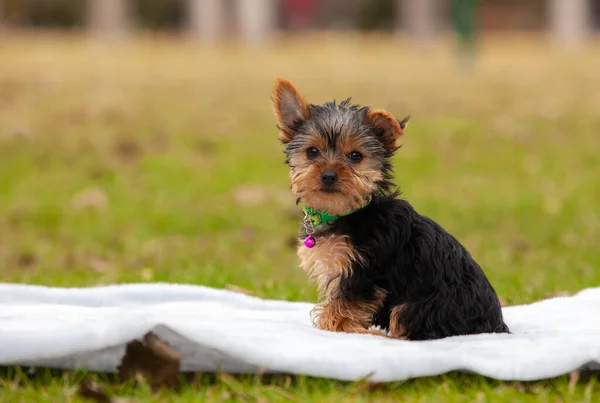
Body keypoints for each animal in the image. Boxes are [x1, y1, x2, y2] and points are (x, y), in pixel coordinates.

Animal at [272, 76, 510, 340]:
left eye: (356, 156)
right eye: (312, 152)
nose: (329, 175)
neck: (349, 212)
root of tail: (496, 326)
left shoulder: (365, 271)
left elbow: (345, 304)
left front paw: (333, 326)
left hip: (422, 306)